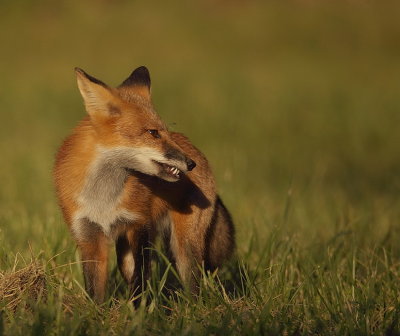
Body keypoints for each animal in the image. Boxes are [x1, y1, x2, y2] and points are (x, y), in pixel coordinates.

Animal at [53, 67, 234, 304]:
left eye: (164, 131)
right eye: (153, 133)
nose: (190, 164)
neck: (103, 197)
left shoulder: (139, 224)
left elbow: (140, 276)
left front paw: (138, 309)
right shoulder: (88, 237)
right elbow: (95, 289)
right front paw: (97, 312)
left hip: (184, 247)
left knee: (193, 282)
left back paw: (194, 307)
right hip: (125, 248)